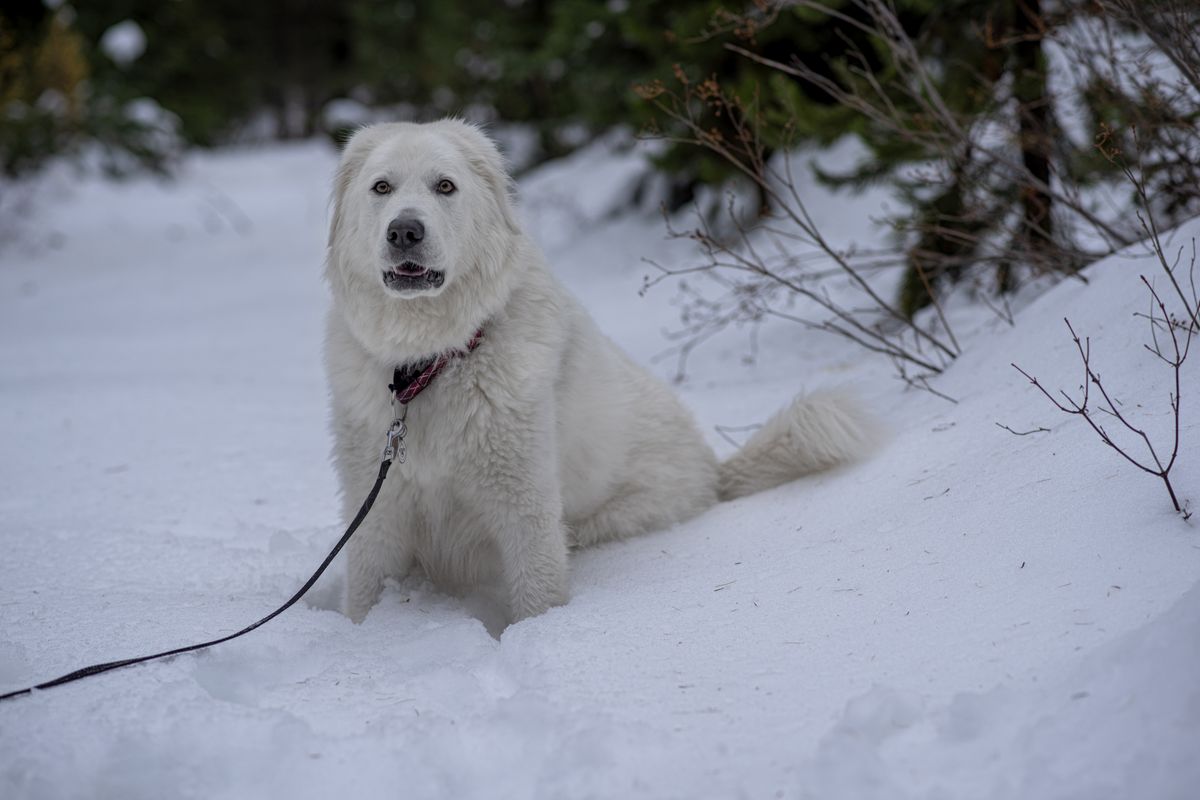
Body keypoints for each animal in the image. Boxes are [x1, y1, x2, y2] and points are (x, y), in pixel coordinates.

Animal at [324, 118, 878, 623]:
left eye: (445, 186)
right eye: (382, 187)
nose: (404, 231)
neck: (431, 363)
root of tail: (714, 473)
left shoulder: (524, 505)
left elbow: (538, 593)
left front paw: (538, 634)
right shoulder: (376, 509)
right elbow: (365, 593)